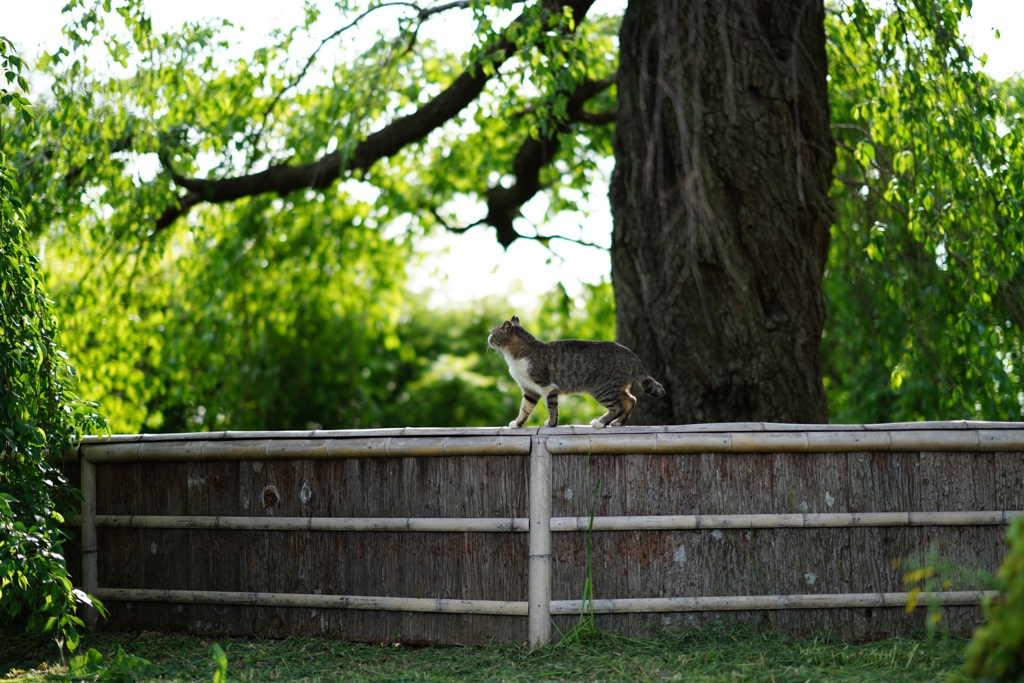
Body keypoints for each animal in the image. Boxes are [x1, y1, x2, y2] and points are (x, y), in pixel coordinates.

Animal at [485, 315, 663, 428]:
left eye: (493, 334)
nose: (488, 339)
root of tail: (633, 356)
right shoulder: (530, 389)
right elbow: (525, 409)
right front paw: (517, 424)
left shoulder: (547, 386)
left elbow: (552, 408)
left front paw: (551, 424)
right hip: (617, 388)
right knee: (630, 400)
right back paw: (618, 422)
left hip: (602, 389)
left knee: (617, 406)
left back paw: (600, 422)